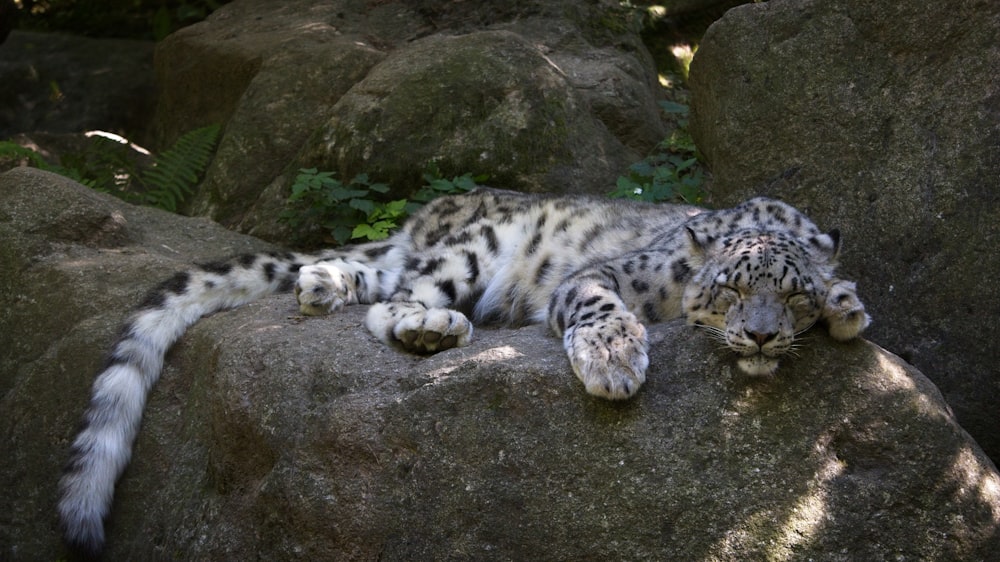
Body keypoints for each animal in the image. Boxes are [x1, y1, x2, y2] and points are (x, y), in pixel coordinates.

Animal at [56, 187, 868, 552]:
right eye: (730, 287)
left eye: (792, 295)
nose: (760, 337)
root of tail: (427, 214)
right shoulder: (603, 275)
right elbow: (599, 306)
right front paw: (614, 362)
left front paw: (846, 306)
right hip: (471, 252)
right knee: (398, 298)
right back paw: (426, 326)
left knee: (364, 279)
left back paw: (325, 284)